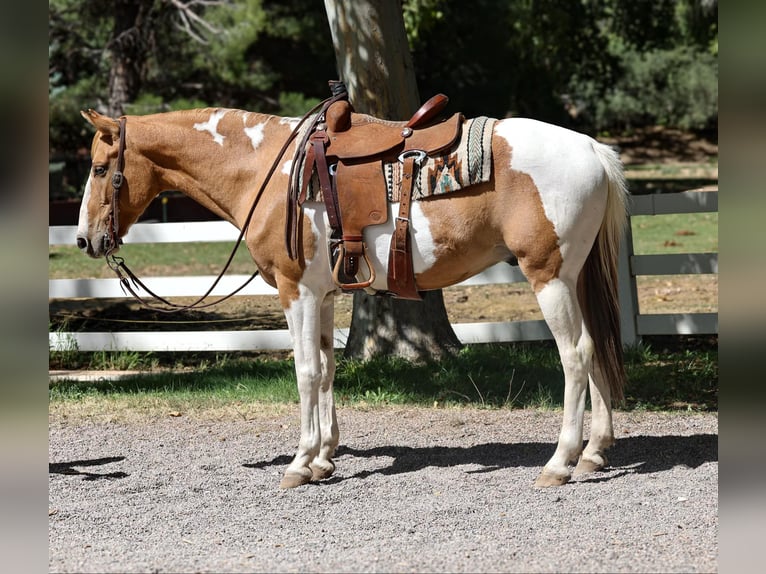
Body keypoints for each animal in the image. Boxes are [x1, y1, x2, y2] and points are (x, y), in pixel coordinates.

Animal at [75, 102, 629, 489]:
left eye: (101, 168)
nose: (84, 240)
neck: (267, 170)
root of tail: (592, 150)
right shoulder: (322, 295)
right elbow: (326, 368)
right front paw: (323, 458)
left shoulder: (296, 291)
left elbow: (304, 371)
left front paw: (299, 463)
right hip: (574, 278)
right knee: (596, 346)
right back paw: (594, 454)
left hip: (549, 276)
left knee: (575, 355)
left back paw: (559, 463)